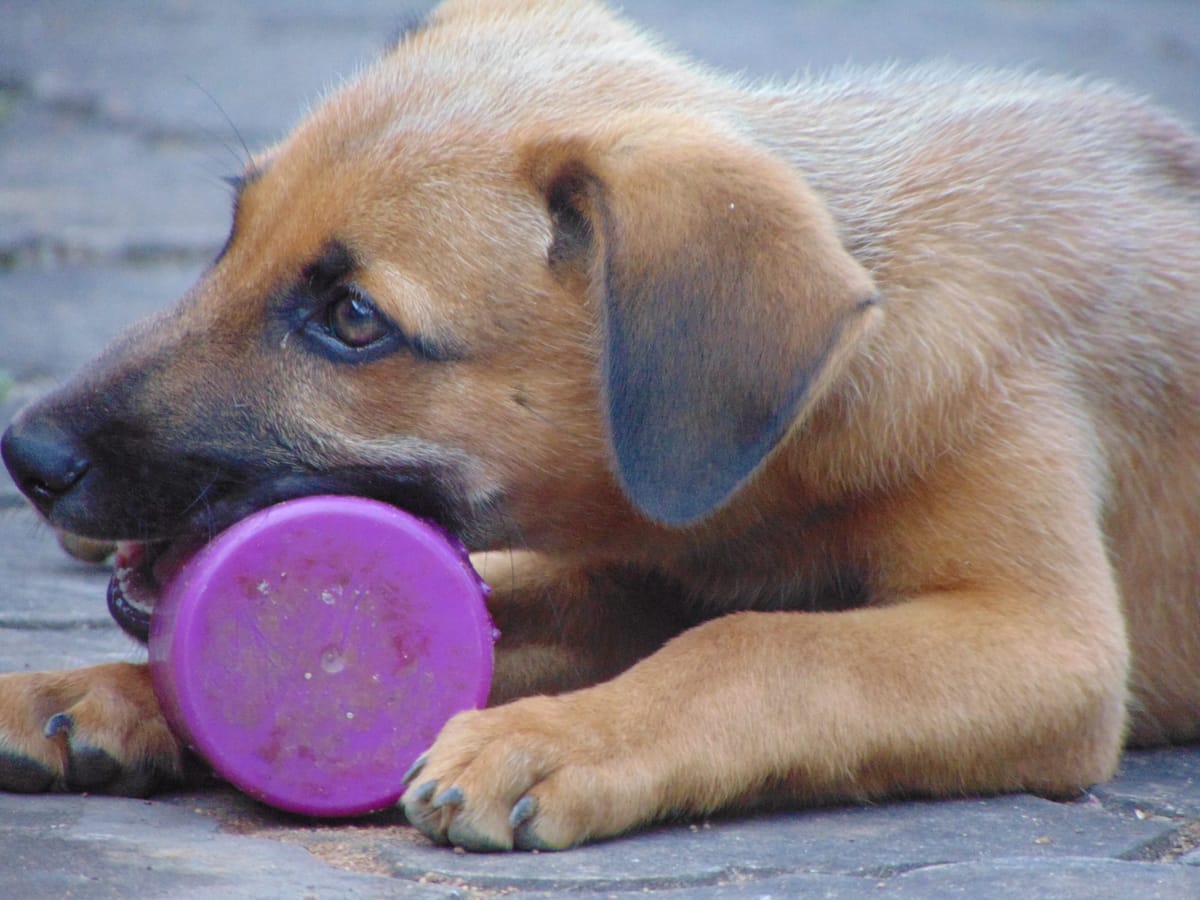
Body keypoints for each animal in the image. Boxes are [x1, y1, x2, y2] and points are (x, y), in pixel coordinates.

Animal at [2, 0, 1200, 854]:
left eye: (352, 319)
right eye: (232, 231)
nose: (28, 457)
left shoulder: (1044, 638)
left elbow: (762, 648)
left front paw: (551, 742)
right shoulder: (629, 576)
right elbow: (518, 613)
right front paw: (103, 692)